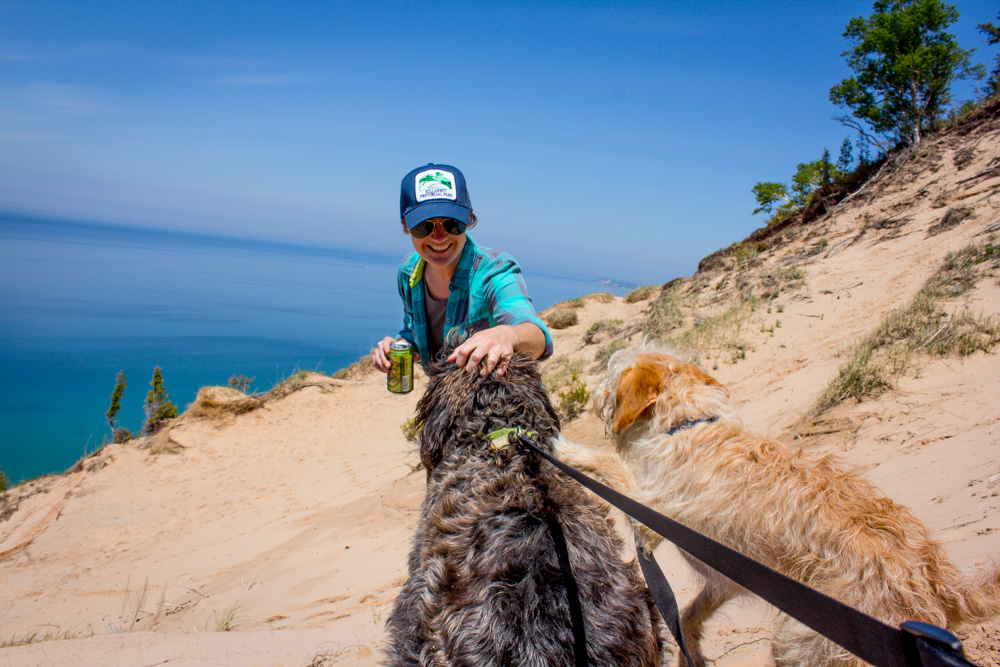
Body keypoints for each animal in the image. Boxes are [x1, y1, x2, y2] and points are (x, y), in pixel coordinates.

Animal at [556, 348, 1000, 664]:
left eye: (611, 375)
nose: (592, 393)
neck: (687, 425)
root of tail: (936, 582)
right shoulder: (726, 579)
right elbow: (688, 618)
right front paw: (691, 654)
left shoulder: (651, 516)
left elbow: (611, 464)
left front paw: (567, 449)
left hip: (802, 644)